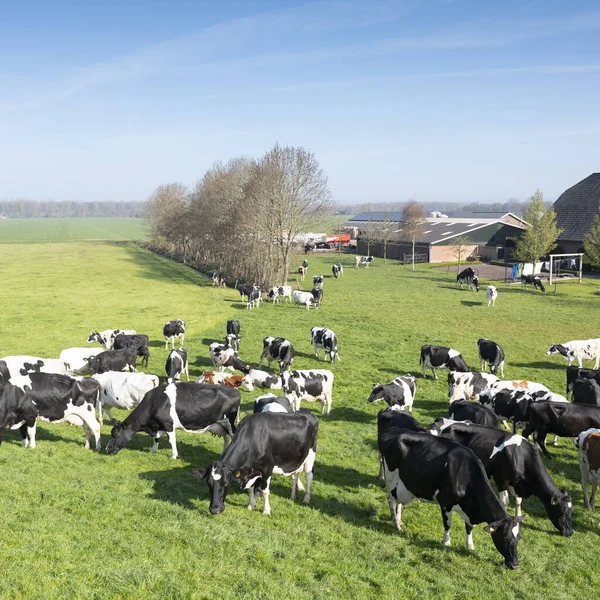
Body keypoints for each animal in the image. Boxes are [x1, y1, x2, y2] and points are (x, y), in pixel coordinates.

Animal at [106, 384, 240, 460]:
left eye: (116, 434)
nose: (107, 450)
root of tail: (235, 391)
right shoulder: (158, 426)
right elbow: (156, 439)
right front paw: (153, 450)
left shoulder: (168, 424)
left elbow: (171, 441)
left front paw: (174, 456)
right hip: (222, 425)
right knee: (226, 439)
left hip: (230, 422)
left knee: (233, 437)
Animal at [382, 426, 524, 568]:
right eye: (504, 538)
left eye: (519, 537)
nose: (515, 565)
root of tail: (394, 433)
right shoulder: (445, 502)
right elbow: (448, 523)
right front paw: (446, 542)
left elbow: (469, 527)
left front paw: (470, 545)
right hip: (391, 478)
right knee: (391, 500)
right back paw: (396, 524)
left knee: (398, 502)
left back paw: (399, 521)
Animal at [436, 420, 572, 536]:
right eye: (563, 511)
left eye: (572, 512)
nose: (570, 532)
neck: (521, 455)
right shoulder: (502, 479)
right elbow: (505, 501)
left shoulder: (516, 483)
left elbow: (518, 501)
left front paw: (519, 516)